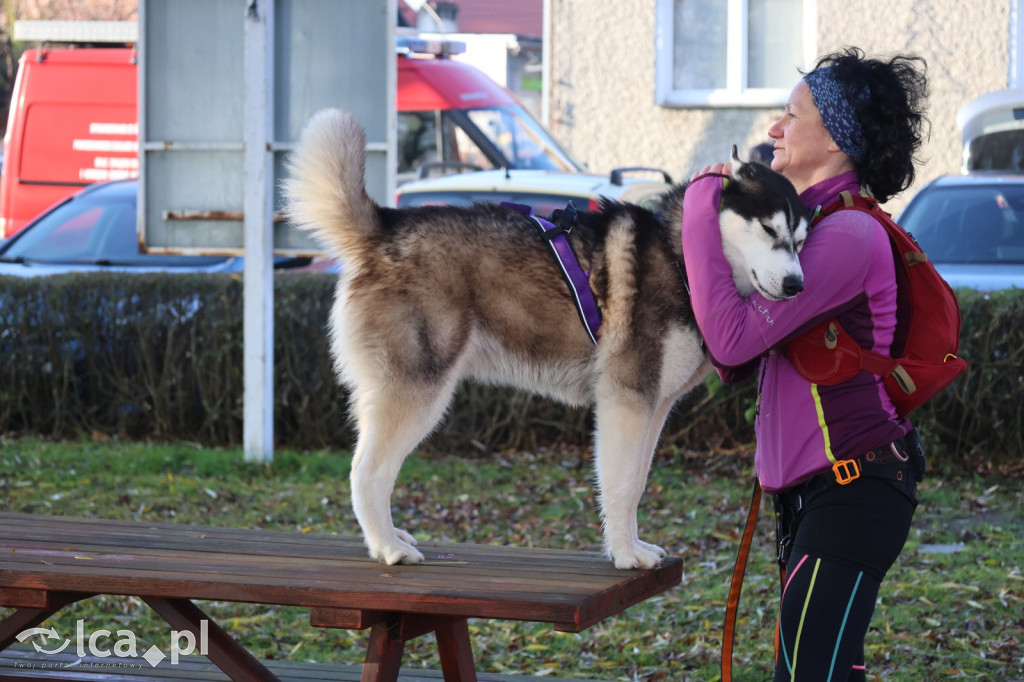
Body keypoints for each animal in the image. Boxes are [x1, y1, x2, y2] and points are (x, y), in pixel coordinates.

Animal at [280, 109, 806, 565]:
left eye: (800, 241)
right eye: (768, 229)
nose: (798, 285)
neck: (682, 258)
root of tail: (387, 225)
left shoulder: (654, 408)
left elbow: (636, 482)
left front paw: (634, 544)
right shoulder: (626, 401)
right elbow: (620, 485)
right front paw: (624, 555)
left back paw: (392, 535)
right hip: (419, 393)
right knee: (366, 473)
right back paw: (387, 547)